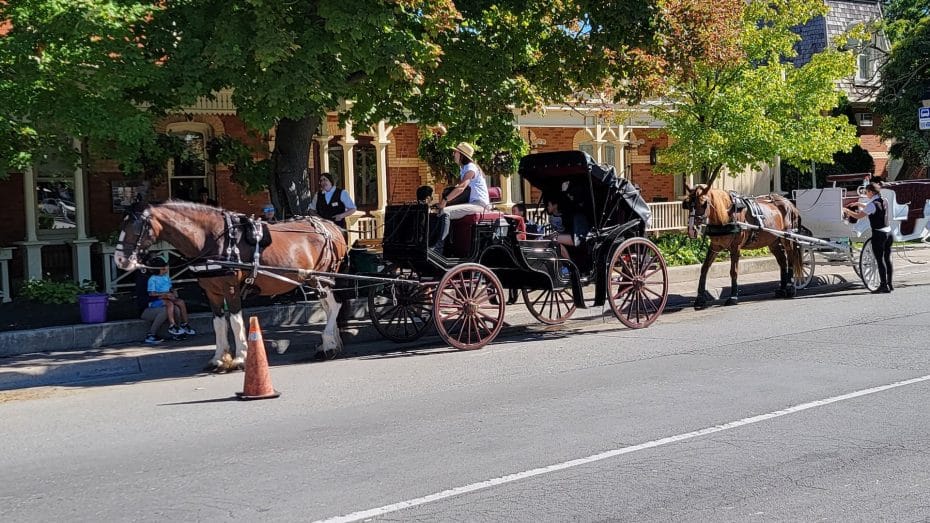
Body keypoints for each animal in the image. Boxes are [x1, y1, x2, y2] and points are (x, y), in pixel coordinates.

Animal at [114, 199, 346, 370]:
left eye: (136, 228)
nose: (119, 260)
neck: (212, 239)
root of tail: (331, 227)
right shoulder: (211, 291)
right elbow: (218, 323)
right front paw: (219, 358)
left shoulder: (231, 287)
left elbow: (235, 321)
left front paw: (241, 358)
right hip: (316, 280)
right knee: (328, 307)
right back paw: (332, 342)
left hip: (321, 278)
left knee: (335, 305)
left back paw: (328, 344)